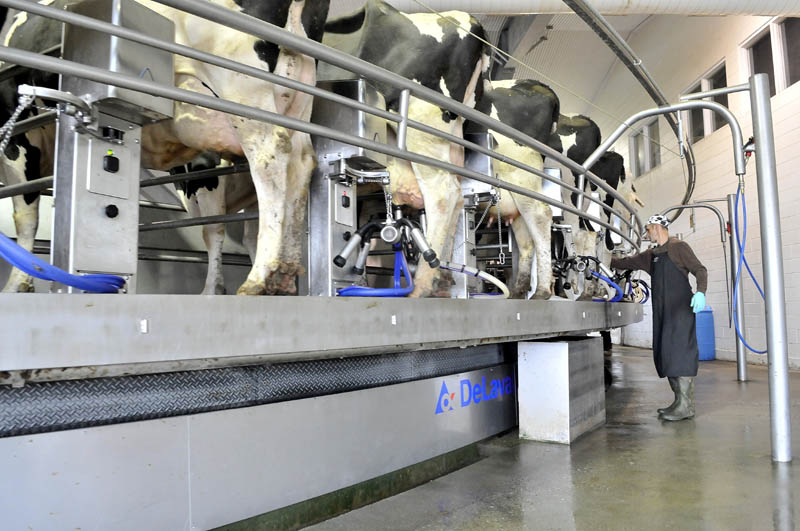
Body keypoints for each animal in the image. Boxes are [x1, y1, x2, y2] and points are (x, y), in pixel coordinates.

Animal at [0, 1, 332, 296]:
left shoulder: (19, 134)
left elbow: (25, 213)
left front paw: (18, 283)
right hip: (297, 99)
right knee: (301, 164)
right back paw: (284, 274)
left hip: (243, 91)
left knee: (270, 157)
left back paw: (260, 278)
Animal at [320, 0, 488, 298]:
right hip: (451, 140)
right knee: (457, 196)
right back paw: (443, 278)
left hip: (422, 125)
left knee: (443, 194)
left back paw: (421, 285)